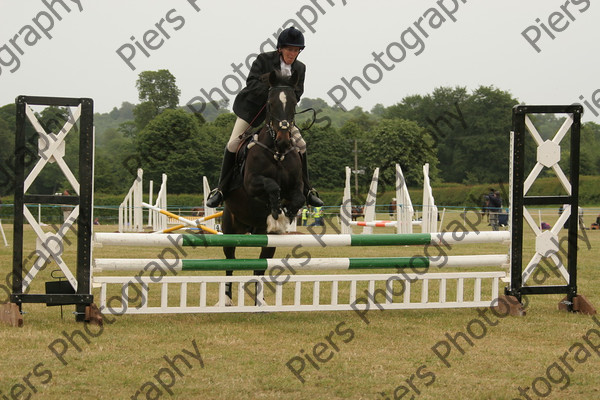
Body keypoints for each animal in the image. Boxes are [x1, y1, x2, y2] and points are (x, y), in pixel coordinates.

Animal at [220, 70, 304, 304]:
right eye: (270, 103)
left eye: (293, 102)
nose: (284, 140)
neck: (277, 153)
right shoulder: (251, 183)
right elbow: (271, 185)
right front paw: (276, 211)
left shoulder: (297, 187)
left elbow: (298, 198)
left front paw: (285, 215)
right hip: (230, 230)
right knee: (229, 262)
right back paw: (227, 300)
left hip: (267, 240)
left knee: (260, 266)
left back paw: (260, 301)